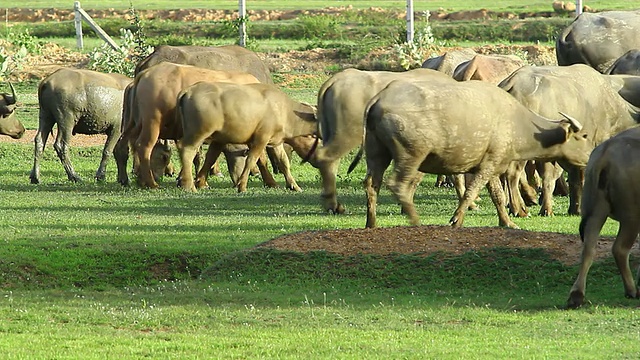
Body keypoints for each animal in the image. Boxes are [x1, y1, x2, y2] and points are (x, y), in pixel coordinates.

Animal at [112, 62, 260, 190]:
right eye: (245, 154)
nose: (255, 172)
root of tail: (143, 75)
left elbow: (202, 156)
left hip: (133, 123)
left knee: (122, 146)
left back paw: (128, 179)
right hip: (152, 123)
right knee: (143, 147)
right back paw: (151, 183)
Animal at [176, 82, 316, 194]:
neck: (284, 110)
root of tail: (188, 90)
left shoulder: (275, 143)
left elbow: (283, 162)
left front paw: (294, 185)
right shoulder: (260, 139)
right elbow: (251, 160)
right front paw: (242, 185)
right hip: (198, 133)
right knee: (187, 150)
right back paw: (188, 185)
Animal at [312, 67, 452, 214]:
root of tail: (334, 80)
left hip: (329, 131)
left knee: (332, 162)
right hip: (348, 132)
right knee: (326, 157)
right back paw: (333, 206)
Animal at [360, 80, 592, 229]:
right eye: (584, 136)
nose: (592, 155)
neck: (517, 123)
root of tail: (378, 100)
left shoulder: (493, 166)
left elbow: (498, 196)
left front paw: (507, 222)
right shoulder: (488, 164)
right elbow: (471, 191)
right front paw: (456, 219)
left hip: (377, 153)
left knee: (372, 184)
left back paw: (371, 223)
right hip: (412, 155)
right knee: (398, 185)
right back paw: (415, 220)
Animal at [568, 125, 640, 308]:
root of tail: (605, 154)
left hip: (595, 212)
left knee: (588, 249)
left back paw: (576, 296)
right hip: (631, 217)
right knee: (619, 249)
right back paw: (632, 290)